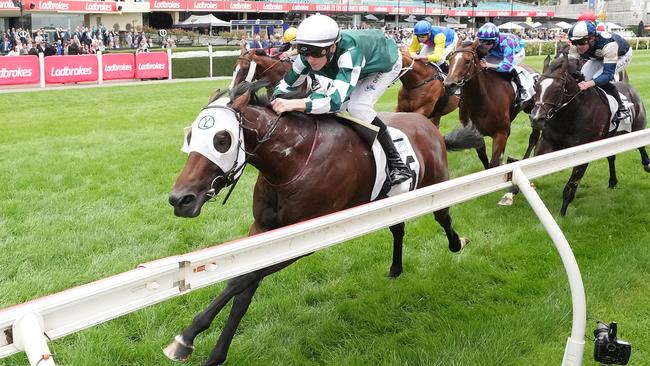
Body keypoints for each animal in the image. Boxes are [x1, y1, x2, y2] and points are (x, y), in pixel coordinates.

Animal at [165, 80, 468, 366]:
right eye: (190, 135)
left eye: (221, 139)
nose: (181, 199)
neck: (293, 161)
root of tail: (427, 124)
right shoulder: (262, 229)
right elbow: (242, 290)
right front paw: (212, 353)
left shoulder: (305, 237)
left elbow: (243, 279)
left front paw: (187, 337)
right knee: (398, 228)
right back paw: (395, 268)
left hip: (435, 184)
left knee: (443, 217)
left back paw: (457, 243)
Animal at [446, 39, 536, 169]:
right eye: (450, 59)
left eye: (467, 61)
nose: (448, 85)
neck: (481, 100)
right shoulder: (475, 135)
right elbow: (485, 161)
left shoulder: (500, 133)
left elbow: (493, 164)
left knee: (534, 137)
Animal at [528, 53, 644, 216]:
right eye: (536, 86)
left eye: (558, 88)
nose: (536, 119)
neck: (571, 113)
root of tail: (630, 87)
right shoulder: (547, 142)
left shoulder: (584, 150)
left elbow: (571, 185)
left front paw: (561, 214)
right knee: (611, 157)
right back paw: (612, 182)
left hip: (637, 129)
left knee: (641, 147)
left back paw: (647, 164)